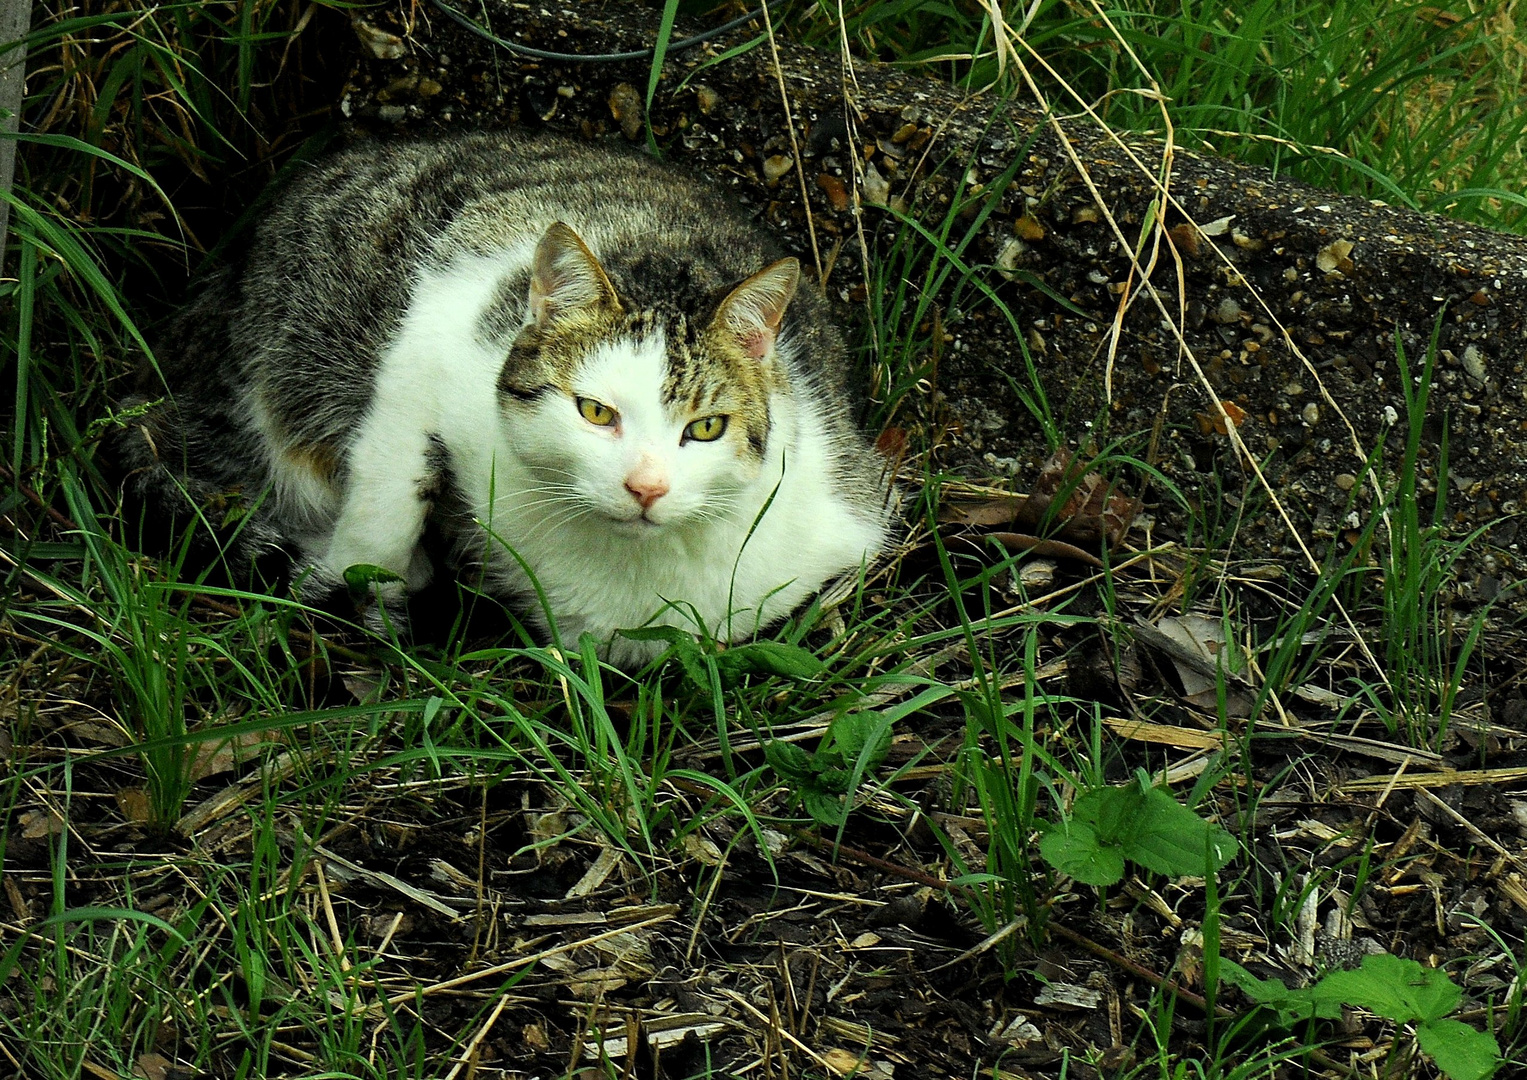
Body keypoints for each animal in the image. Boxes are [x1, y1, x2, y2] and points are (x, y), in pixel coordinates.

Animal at [122, 129, 891, 666]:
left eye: (705, 428)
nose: (645, 487)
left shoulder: (846, 526)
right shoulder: (433, 333)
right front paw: (367, 588)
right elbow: (386, 505)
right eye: (595, 412)